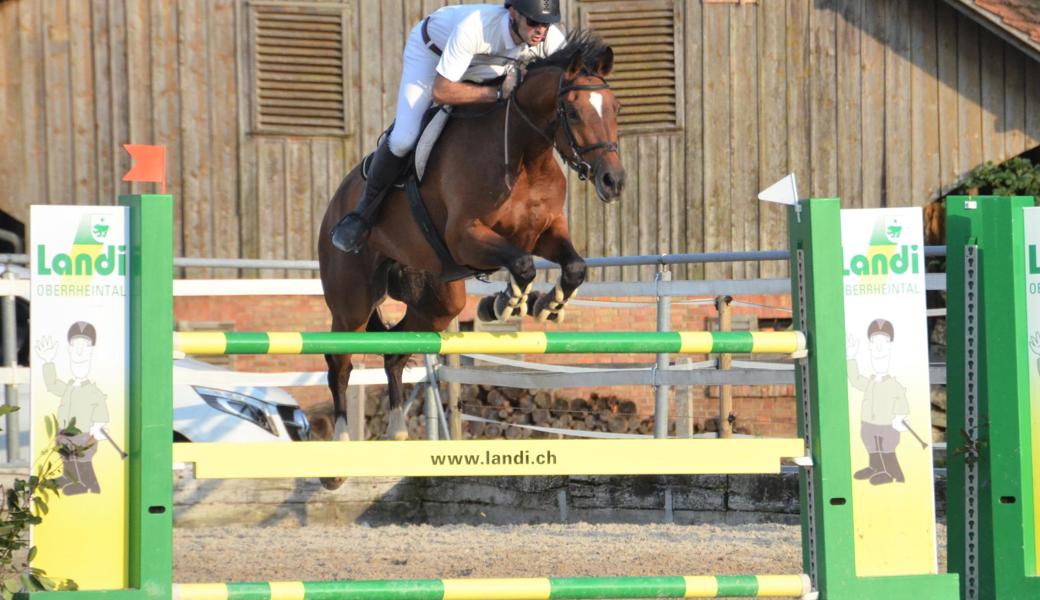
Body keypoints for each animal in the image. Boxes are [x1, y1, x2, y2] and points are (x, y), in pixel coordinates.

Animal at [316, 30, 624, 488]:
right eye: (572, 110)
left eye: (615, 107)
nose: (613, 181)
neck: (525, 157)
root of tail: (335, 203)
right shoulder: (466, 237)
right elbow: (522, 264)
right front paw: (505, 303)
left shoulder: (545, 233)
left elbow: (573, 266)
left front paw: (544, 304)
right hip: (351, 299)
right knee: (340, 362)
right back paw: (336, 461)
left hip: (439, 301)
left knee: (395, 351)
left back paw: (398, 434)